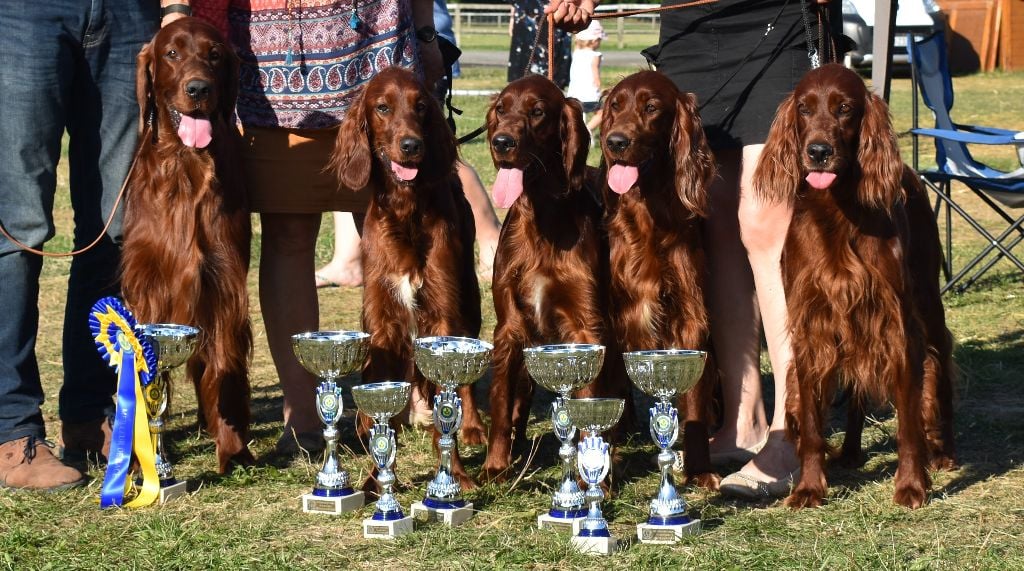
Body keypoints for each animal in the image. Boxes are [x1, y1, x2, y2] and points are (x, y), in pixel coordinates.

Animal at [120, 17, 254, 474]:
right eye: (172, 54)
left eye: (214, 54)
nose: (198, 89)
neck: (186, 165)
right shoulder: (148, 285)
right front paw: (139, 458)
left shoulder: (222, 281)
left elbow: (222, 366)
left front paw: (233, 448)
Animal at [329, 66, 485, 487]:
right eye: (382, 107)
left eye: (421, 107)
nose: (412, 145)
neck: (406, 211)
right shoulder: (384, 321)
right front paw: (377, 479)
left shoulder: (443, 312)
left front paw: (455, 475)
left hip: (469, 300)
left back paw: (473, 427)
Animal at [475, 75, 618, 482]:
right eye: (501, 108)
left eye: (538, 111)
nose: (502, 142)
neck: (542, 220)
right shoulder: (509, 326)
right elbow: (501, 401)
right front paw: (495, 465)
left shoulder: (588, 328)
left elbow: (591, 400)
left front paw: (593, 479)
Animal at [598, 71, 720, 491]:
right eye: (615, 105)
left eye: (652, 107)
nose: (615, 141)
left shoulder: (690, 314)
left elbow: (695, 398)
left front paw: (699, 469)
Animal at [757, 63, 954, 509]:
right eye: (804, 109)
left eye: (845, 108)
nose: (817, 151)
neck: (837, 211)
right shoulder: (812, 325)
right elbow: (812, 424)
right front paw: (810, 488)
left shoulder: (896, 325)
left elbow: (909, 421)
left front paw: (911, 484)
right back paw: (849, 451)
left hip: (928, 303)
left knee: (941, 365)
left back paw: (944, 451)